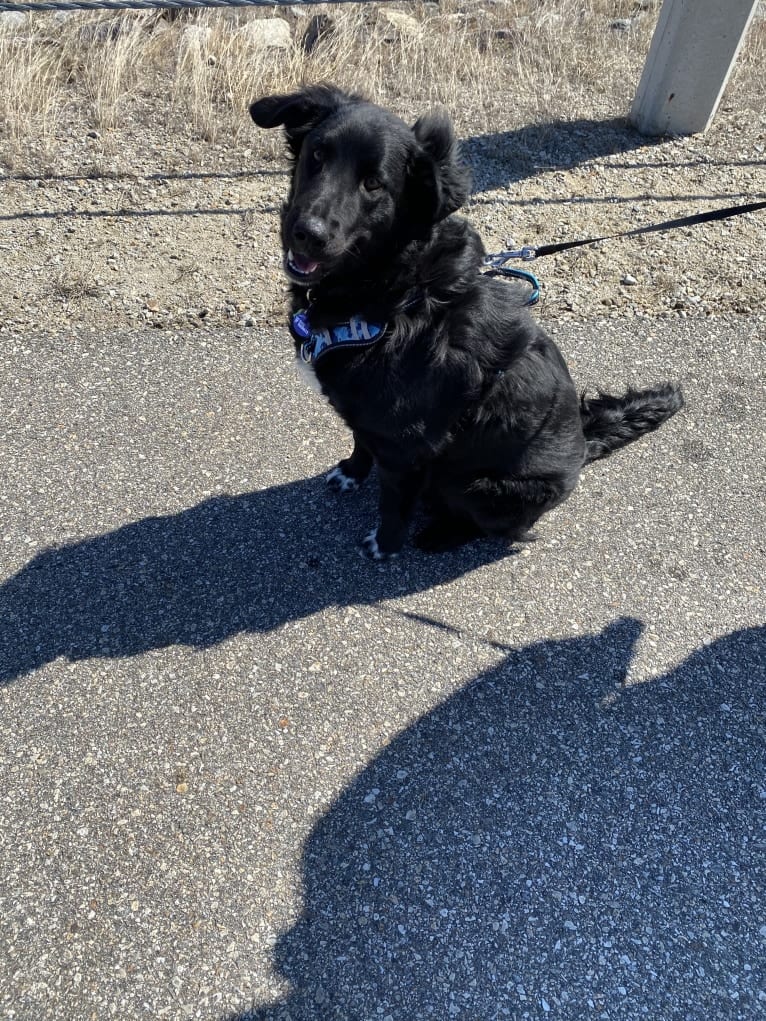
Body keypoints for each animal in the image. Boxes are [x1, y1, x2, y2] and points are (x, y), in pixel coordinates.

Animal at [250, 89, 682, 559]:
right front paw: (351, 472)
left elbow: (394, 504)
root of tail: (585, 445)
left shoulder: (406, 447)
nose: (306, 233)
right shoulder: (369, 419)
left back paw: (440, 534)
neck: (394, 291)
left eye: (374, 184)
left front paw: (385, 544)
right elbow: (360, 442)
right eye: (317, 155)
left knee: (495, 528)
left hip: (484, 489)